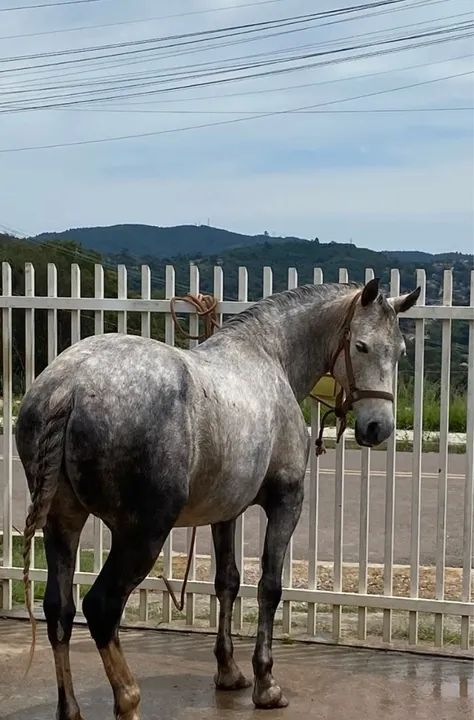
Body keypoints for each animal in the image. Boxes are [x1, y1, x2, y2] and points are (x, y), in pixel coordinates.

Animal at [16, 277, 420, 720]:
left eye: (399, 351)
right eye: (361, 345)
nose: (378, 427)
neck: (269, 356)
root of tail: (69, 386)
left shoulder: (225, 512)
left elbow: (227, 582)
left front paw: (229, 671)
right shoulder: (286, 502)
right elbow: (269, 588)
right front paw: (266, 683)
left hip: (63, 524)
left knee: (59, 610)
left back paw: (70, 709)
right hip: (141, 535)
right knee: (102, 608)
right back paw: (129, 700)